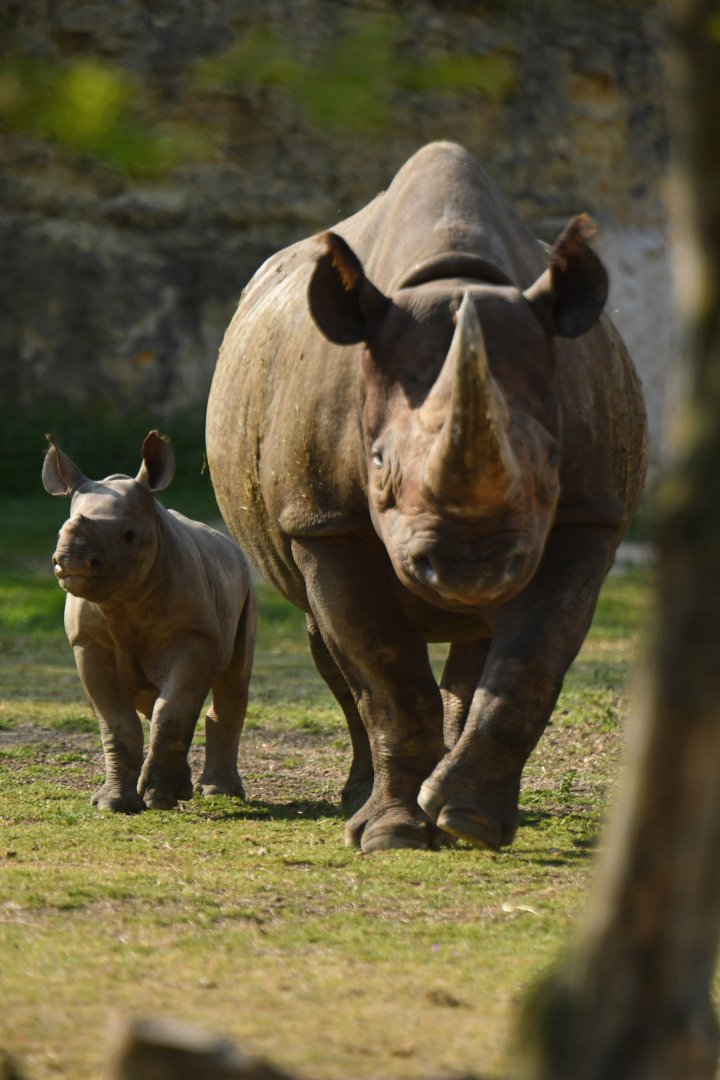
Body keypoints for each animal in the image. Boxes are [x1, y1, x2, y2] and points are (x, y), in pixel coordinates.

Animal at [43, 431, 256, 813]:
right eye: (58, 532)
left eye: (129, 535)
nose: (72, 561)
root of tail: (228, 543)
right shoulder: (87, 642)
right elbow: (117, 722)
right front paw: (114, 804)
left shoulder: (195, 636)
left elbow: (172, 713)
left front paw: (160, 800)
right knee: (152, 702)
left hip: (244, 583)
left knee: (232, 678)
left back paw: (217, 792)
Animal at [206, 141, 647, 853]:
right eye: (378, 463)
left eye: (552, 462)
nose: (470, 568)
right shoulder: (326, 521)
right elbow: (386, 676)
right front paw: (391, 836)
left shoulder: (588, 517)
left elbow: (530, 667)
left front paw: (469, 822)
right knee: (330, 647)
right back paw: (362, 801)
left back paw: (460, 803)